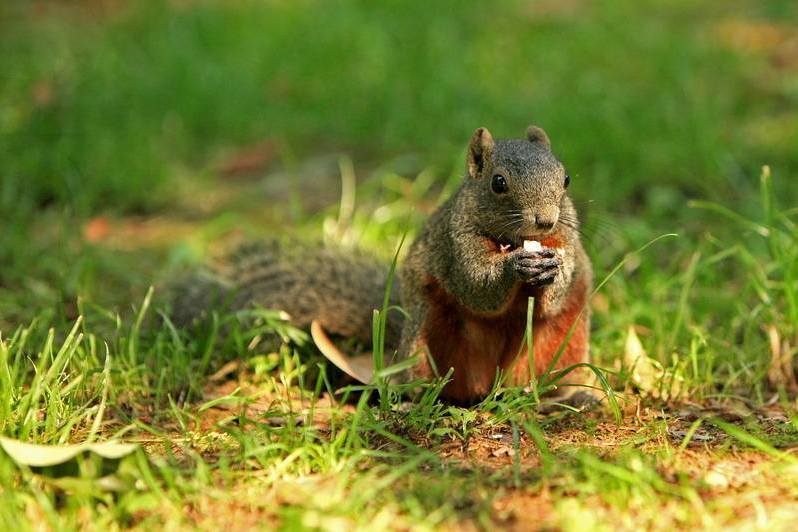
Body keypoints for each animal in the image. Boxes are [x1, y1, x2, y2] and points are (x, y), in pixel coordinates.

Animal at [170, 127, 592, 406]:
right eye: (498, 182)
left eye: (567, 178)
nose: (545, 221)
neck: (513, 240)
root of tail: (489, 387)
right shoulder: (454, 243)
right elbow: (476, 284)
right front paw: (513, 268)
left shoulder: (568, 242)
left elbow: (558, 289)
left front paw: (554, 271)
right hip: (427, 333)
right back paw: (417, 399)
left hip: (562, 343)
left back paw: (569, 396)